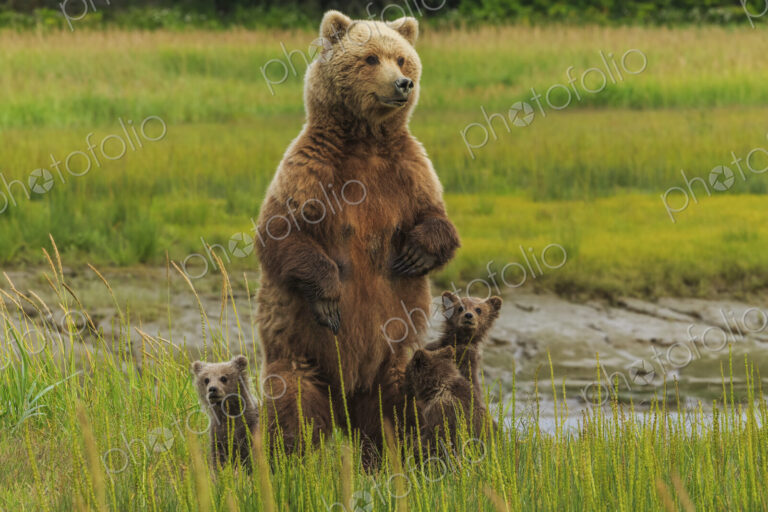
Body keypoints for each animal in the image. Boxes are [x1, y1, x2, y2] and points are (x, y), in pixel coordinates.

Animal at [255, 10, 460, 458]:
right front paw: (329, 297)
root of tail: (345, 397)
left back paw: (400, 453)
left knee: (393, 410)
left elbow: (438, 219)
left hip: (393, 356)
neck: (365, 140)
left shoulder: (410, 170)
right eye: (369, 58)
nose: (403, 84)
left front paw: (414, 254)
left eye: (401, 59)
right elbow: (282, 233)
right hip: (300, 351)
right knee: (294, 403)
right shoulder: (311, 169)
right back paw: (294, 457)